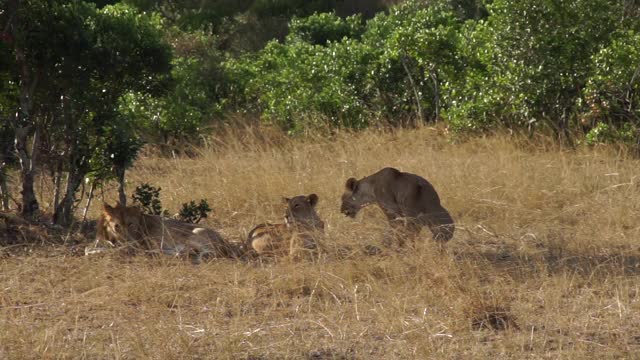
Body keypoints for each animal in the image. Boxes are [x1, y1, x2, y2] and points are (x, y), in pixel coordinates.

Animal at [94, 201, 236, 262]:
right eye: (116, 226)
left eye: (130, 224)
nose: (125, 240)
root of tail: (226, 242)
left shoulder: (138, 245)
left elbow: (116, 250)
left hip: (195, 233)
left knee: (211, 253)